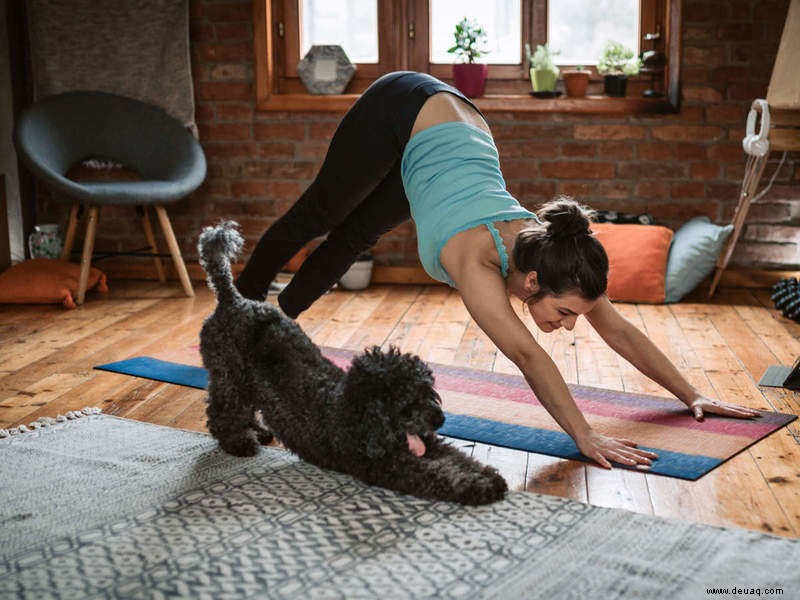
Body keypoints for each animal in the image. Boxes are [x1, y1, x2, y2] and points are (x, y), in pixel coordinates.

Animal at [196, 223, 506, 504]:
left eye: (428, 392)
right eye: (407, 403)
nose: (439, 419)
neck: (354, 411)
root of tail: (232, 300)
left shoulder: (427, 442)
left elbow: (458, 457)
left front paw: (488, 475)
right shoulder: (389, 466)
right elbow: (437, 475)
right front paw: (477, 487)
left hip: (244, 381)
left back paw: (258, 432)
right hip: (229, 377)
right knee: (221, 413)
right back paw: (239, 442)